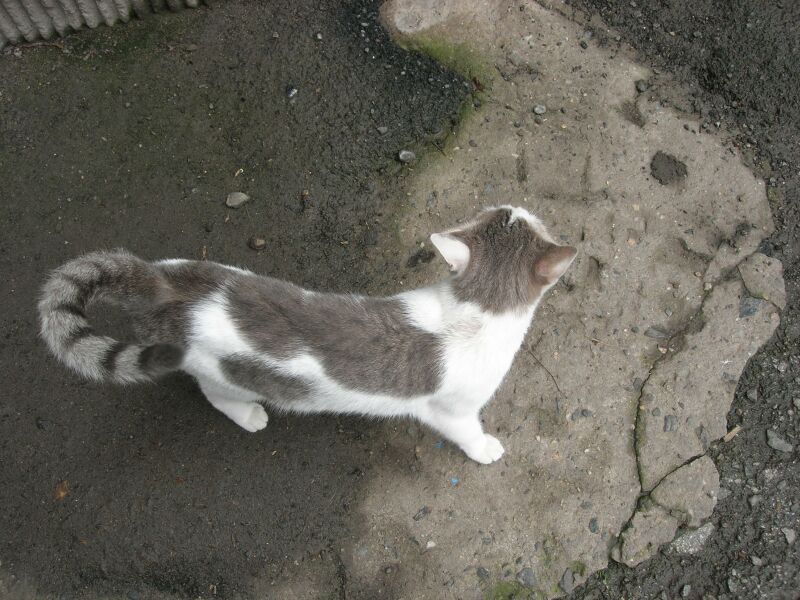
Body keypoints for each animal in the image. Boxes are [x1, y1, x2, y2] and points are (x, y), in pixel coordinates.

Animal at [38, 205, 576, 464]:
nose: (517, 202)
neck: (474, 308)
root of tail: (164, 283)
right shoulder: (453, 411)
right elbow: (468, 432)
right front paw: (485, 449)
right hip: (221, 372)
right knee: (217, 396)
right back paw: (249, 415)